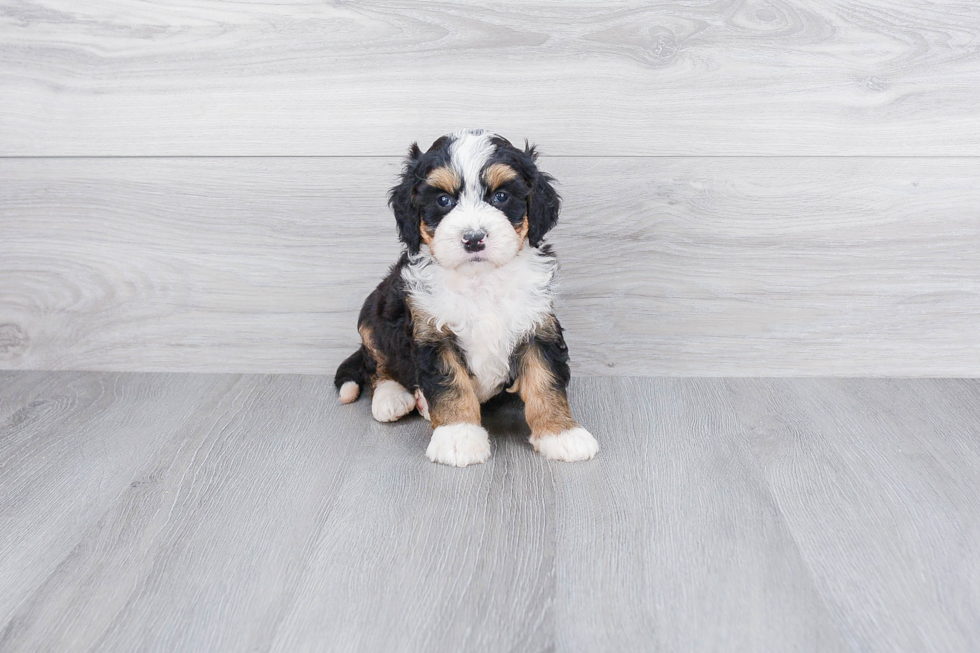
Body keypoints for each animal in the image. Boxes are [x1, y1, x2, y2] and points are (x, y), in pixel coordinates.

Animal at [336, 127, 596, 466]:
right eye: (444, 200)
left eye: (500, 197)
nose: (473, 239)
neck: (480, 278)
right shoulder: (432, 331)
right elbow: (450, 385)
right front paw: (458, 437)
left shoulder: (537, 325)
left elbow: (545, 379)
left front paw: (561, 433)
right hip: (373, 314)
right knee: (378, 364)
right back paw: (393, 398)